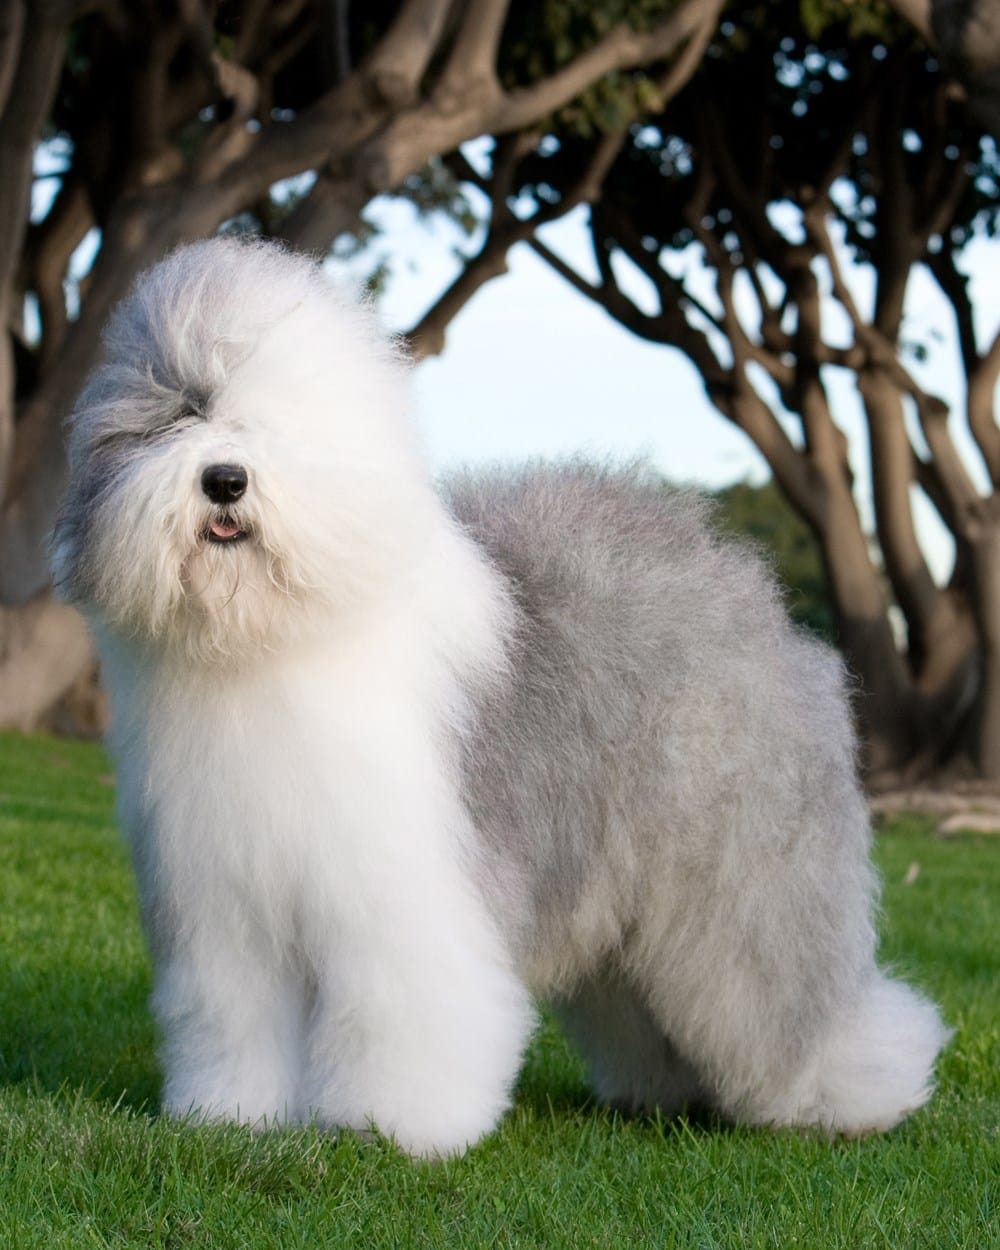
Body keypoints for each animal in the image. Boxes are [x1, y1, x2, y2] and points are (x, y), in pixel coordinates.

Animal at [50, 238, 950, 1155]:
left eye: (275, 426)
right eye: (178, 415)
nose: (225, 481)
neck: (272, 641)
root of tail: (749, 592)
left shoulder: (403, 894)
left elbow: (404, 1009)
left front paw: (394, 1124)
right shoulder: (226, 910)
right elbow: (234, 1016)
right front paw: (232, 1114)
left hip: (741, 876)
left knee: (784, 992)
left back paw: (854, 1090)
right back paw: (665, 1090)